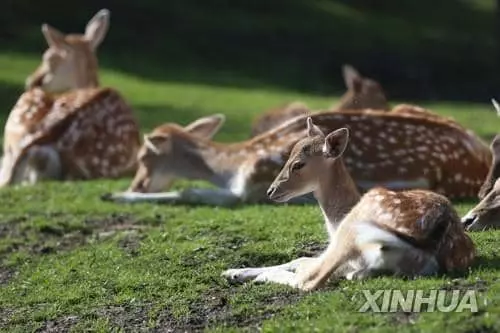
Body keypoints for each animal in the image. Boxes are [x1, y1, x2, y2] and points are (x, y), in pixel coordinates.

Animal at [101, 106, 492, 205]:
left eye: (144, 155)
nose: (136, 185)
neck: (234, 166)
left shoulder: (250, 187)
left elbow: (187, 192)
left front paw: (114, 195)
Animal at [223, 118, 476, 290]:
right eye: (288, 156)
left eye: (299, 164)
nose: (271, 191)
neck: (334, 221)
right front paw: (235, 272)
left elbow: (301, 260)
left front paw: (234, 272)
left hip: (353, 230)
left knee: (309, 280)